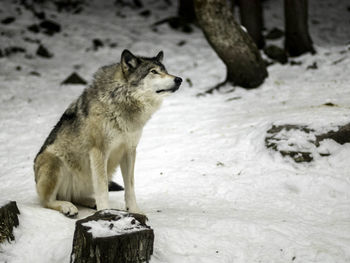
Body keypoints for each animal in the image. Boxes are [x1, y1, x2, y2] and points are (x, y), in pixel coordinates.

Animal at [34, 50, 183, 218]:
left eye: (165, 70)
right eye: (153, 72)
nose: (179, 79)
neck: (122, 104)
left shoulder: (129, 151)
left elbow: (130, 186)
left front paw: (135, 211)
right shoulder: (99, 152)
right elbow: (102, 187)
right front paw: (104, 211)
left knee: (75, 196)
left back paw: (90, 202)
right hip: (53, 161)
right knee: (47, 201)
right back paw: (68, 207)